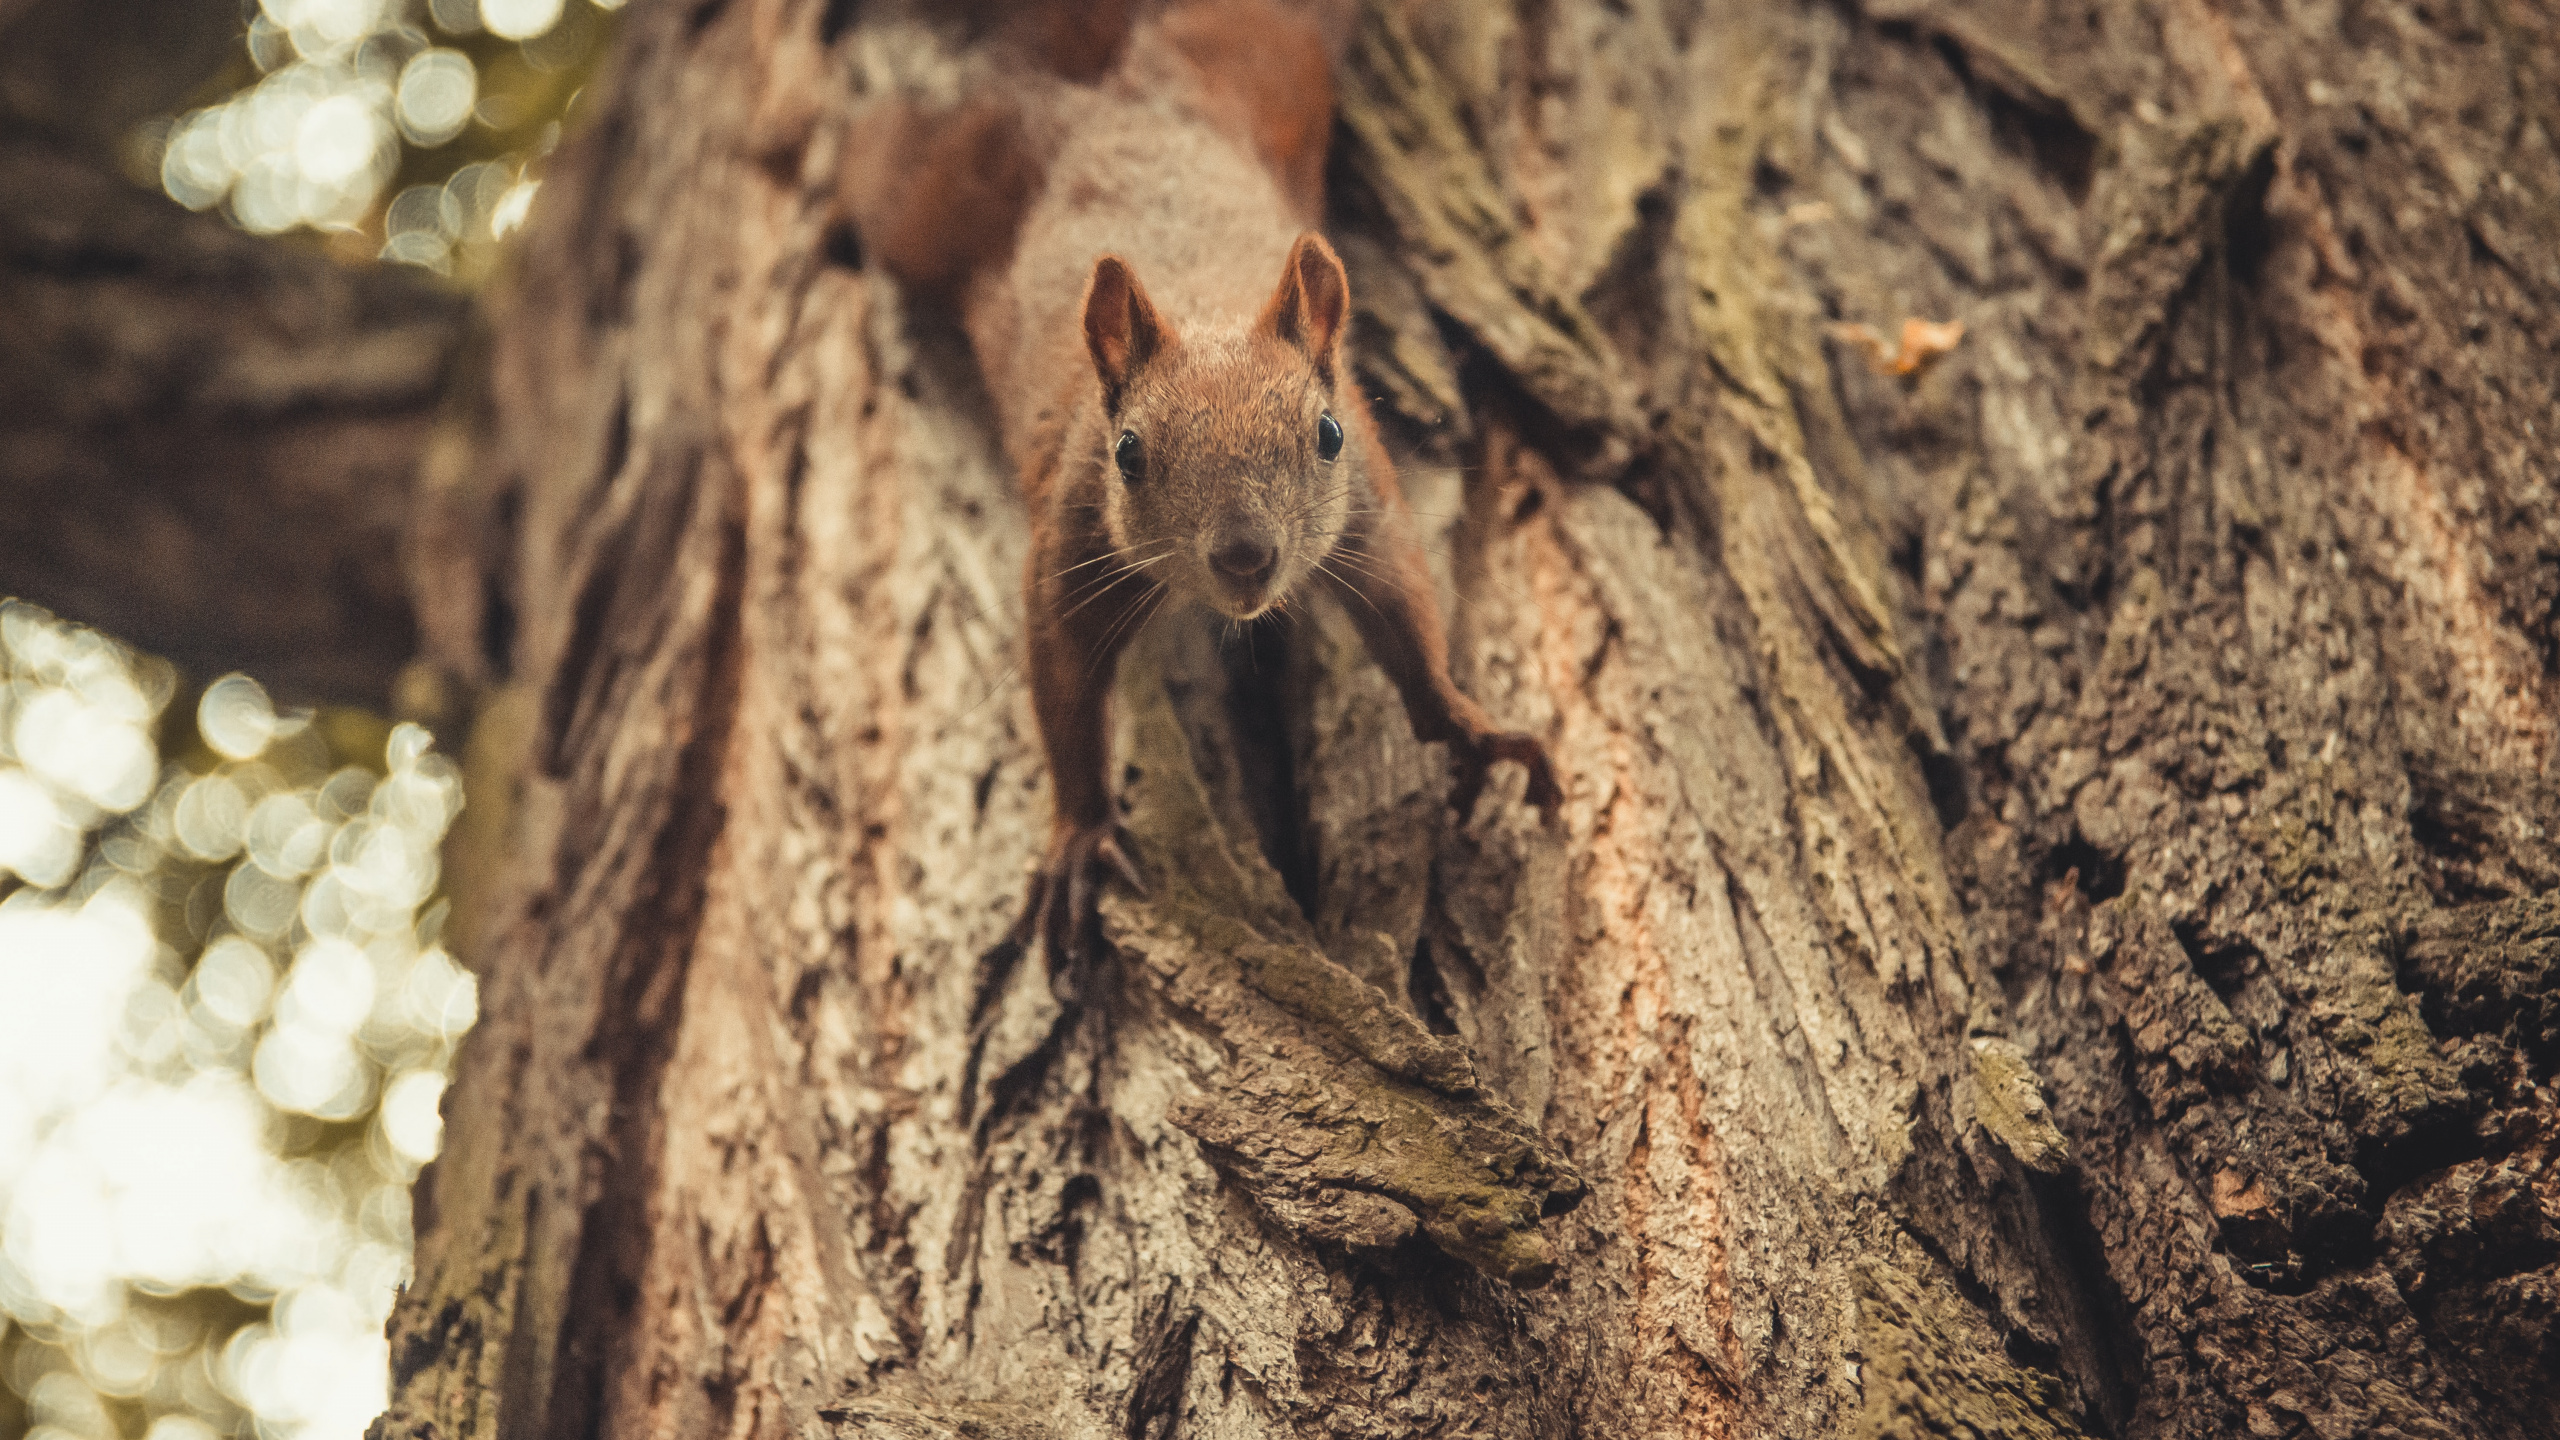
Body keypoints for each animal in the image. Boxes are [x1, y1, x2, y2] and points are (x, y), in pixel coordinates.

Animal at [839, 2, 1556, 963]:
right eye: (1129, 453)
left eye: (1327, 434)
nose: (1247, 557)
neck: (1207, 307)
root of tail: (1113, 95)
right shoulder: (1073, 533)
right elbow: (1063, 683)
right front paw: (1082, 833)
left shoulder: (1365, 501)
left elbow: (1403, 605)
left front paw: (1465, 723)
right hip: (937, 206)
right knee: (880, 161)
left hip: (1272, 65)